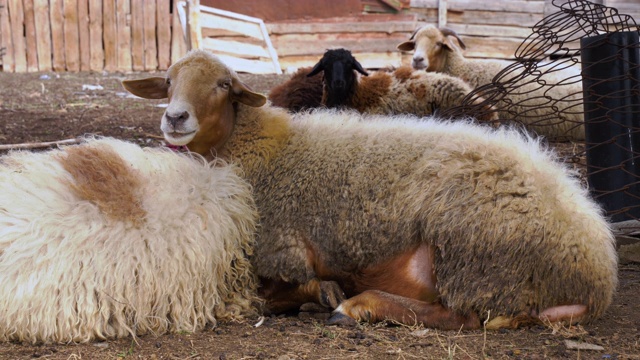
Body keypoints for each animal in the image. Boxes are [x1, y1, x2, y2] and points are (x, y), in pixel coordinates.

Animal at [122, 50, 616, 332]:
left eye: (225, 85)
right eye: (168, 82)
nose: (175, 118)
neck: (256, 148)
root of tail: (598, 269)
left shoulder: (276, 253)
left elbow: (280, 291)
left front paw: (324, 295)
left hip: (473, 254)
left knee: (463, 316)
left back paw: (358, 306)